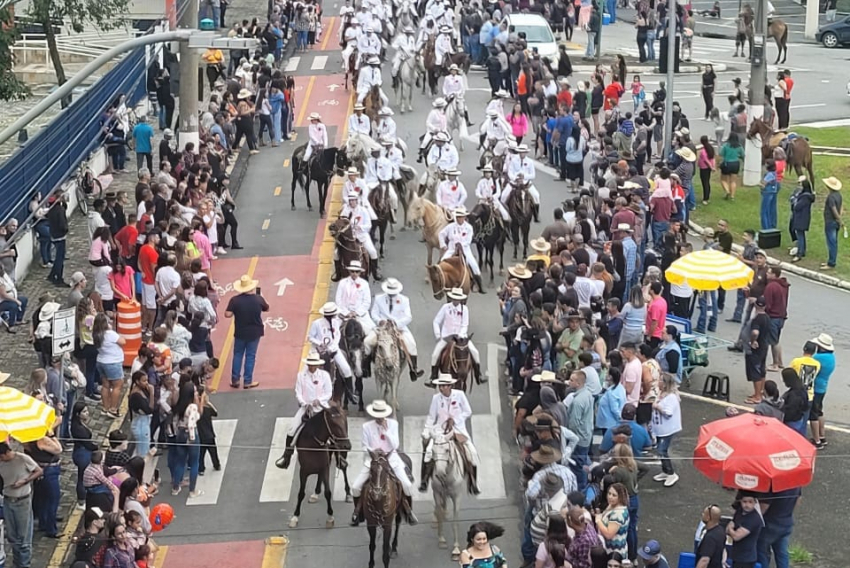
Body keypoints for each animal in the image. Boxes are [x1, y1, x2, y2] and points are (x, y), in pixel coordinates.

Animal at [428, 428, 467, 560]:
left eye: (446, 450)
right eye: (433, 451)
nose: (439, 474)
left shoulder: (458, 497)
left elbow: (455, 521)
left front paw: (456, 549)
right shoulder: (437, 492)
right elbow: (439, 513)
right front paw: (441, 540)